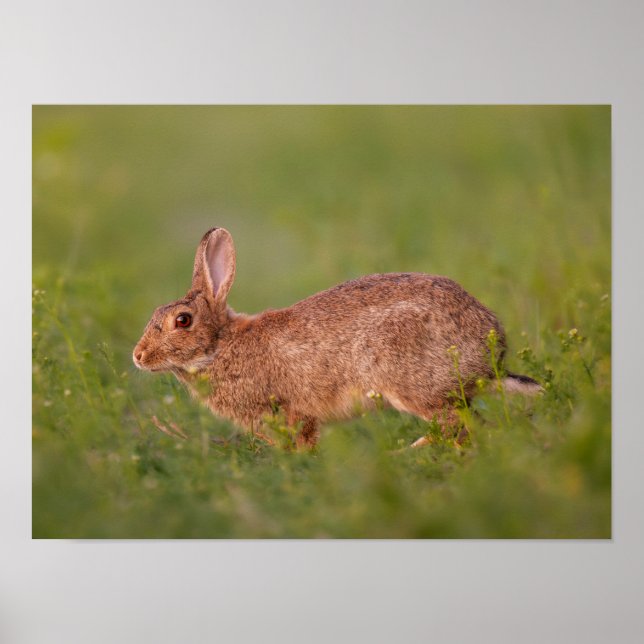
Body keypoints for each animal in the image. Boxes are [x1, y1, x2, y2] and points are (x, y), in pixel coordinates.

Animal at [133, 227, 541, 448]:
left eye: (182, 321)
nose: (138, 356)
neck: (220, 348)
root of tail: (490, 356)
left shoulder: (292, 411)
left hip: (409, 382)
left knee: (455, 426)